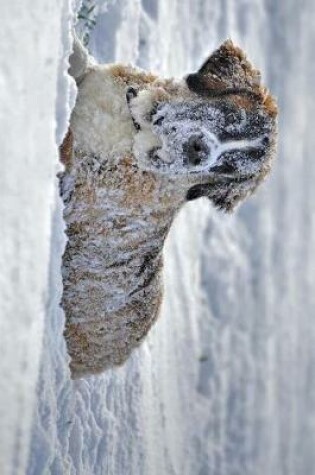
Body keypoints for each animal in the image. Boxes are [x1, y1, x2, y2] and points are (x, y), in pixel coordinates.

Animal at [59, 36, 278, 380]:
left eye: (226, 168)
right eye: (232, 118)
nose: (199, 152)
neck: (136, 128)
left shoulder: (80, 178)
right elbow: (81, 60)